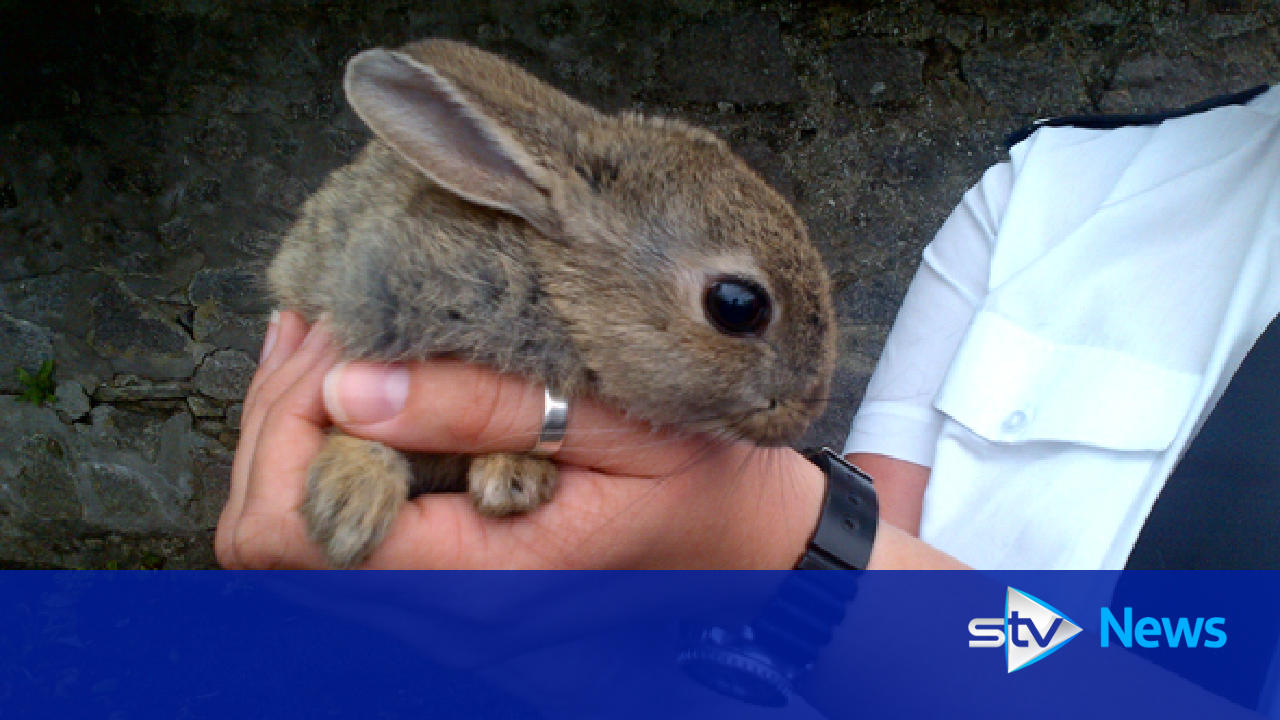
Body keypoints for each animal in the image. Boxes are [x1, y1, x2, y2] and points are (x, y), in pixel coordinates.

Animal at [268, 39, 837, 568]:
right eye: (738, 306)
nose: (805, 409)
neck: (552, 292)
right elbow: (355, 422)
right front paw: (347, 507)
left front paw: (515, 476)